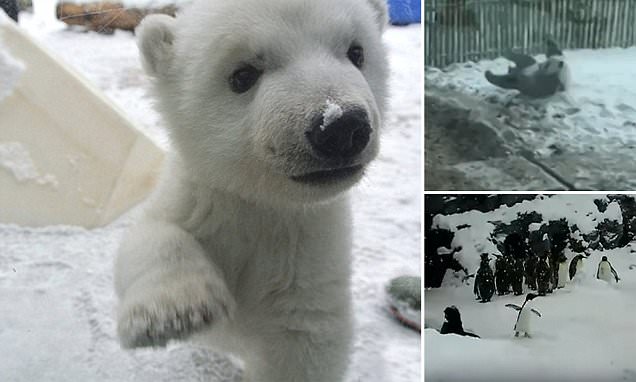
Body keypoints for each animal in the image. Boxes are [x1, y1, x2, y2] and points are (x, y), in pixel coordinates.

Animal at [117, 0, 390, 382]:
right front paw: (175, 314)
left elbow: (302, 343)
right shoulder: (202, 198)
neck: (262, 201)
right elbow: (149, 234)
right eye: (242, 75)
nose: (341, 127)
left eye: (356, 52)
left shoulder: (310, 256)